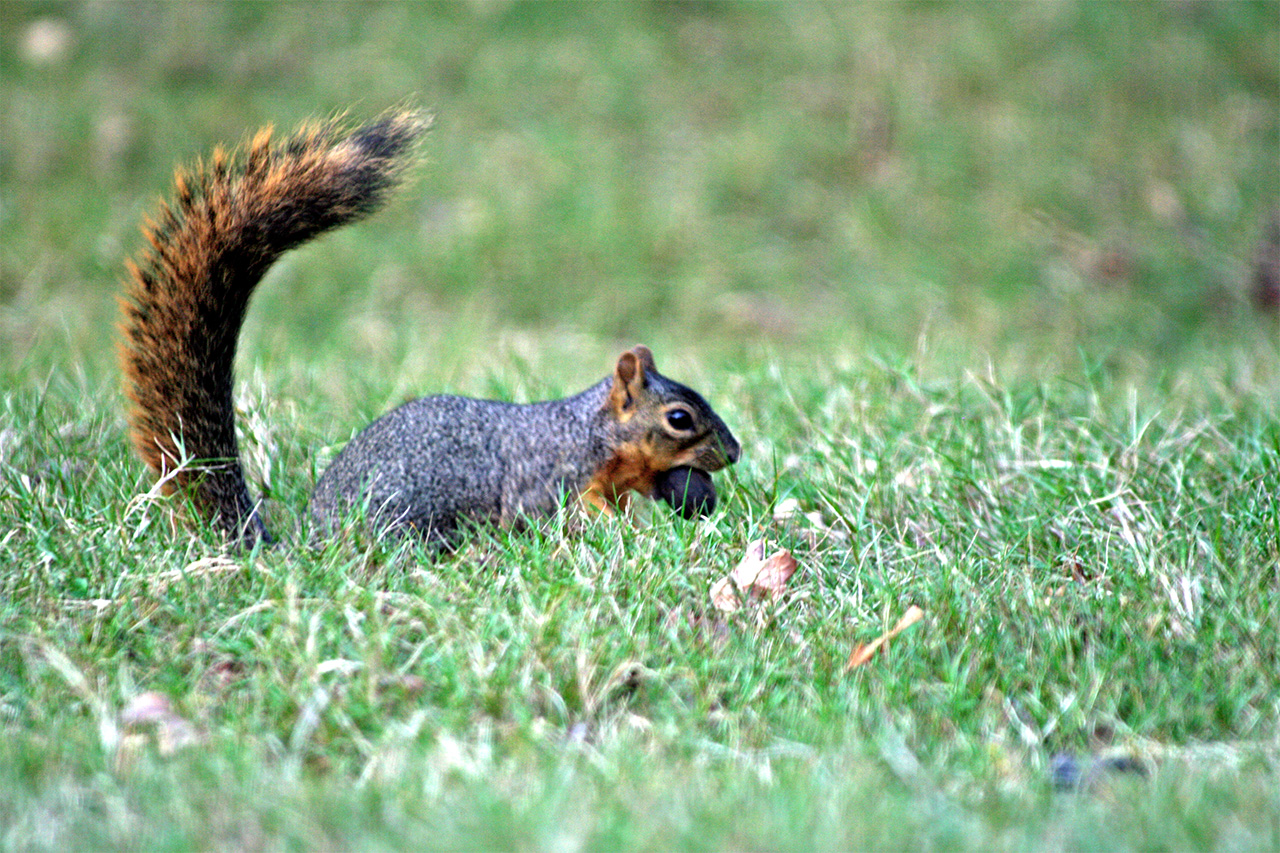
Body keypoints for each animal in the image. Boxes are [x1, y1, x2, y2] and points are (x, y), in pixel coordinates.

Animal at [122, 109, 742, 545]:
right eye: (680, 419)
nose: (734, 454)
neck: (589, 435)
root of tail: (307, 548)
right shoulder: (551, 480)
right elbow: (569, 517)